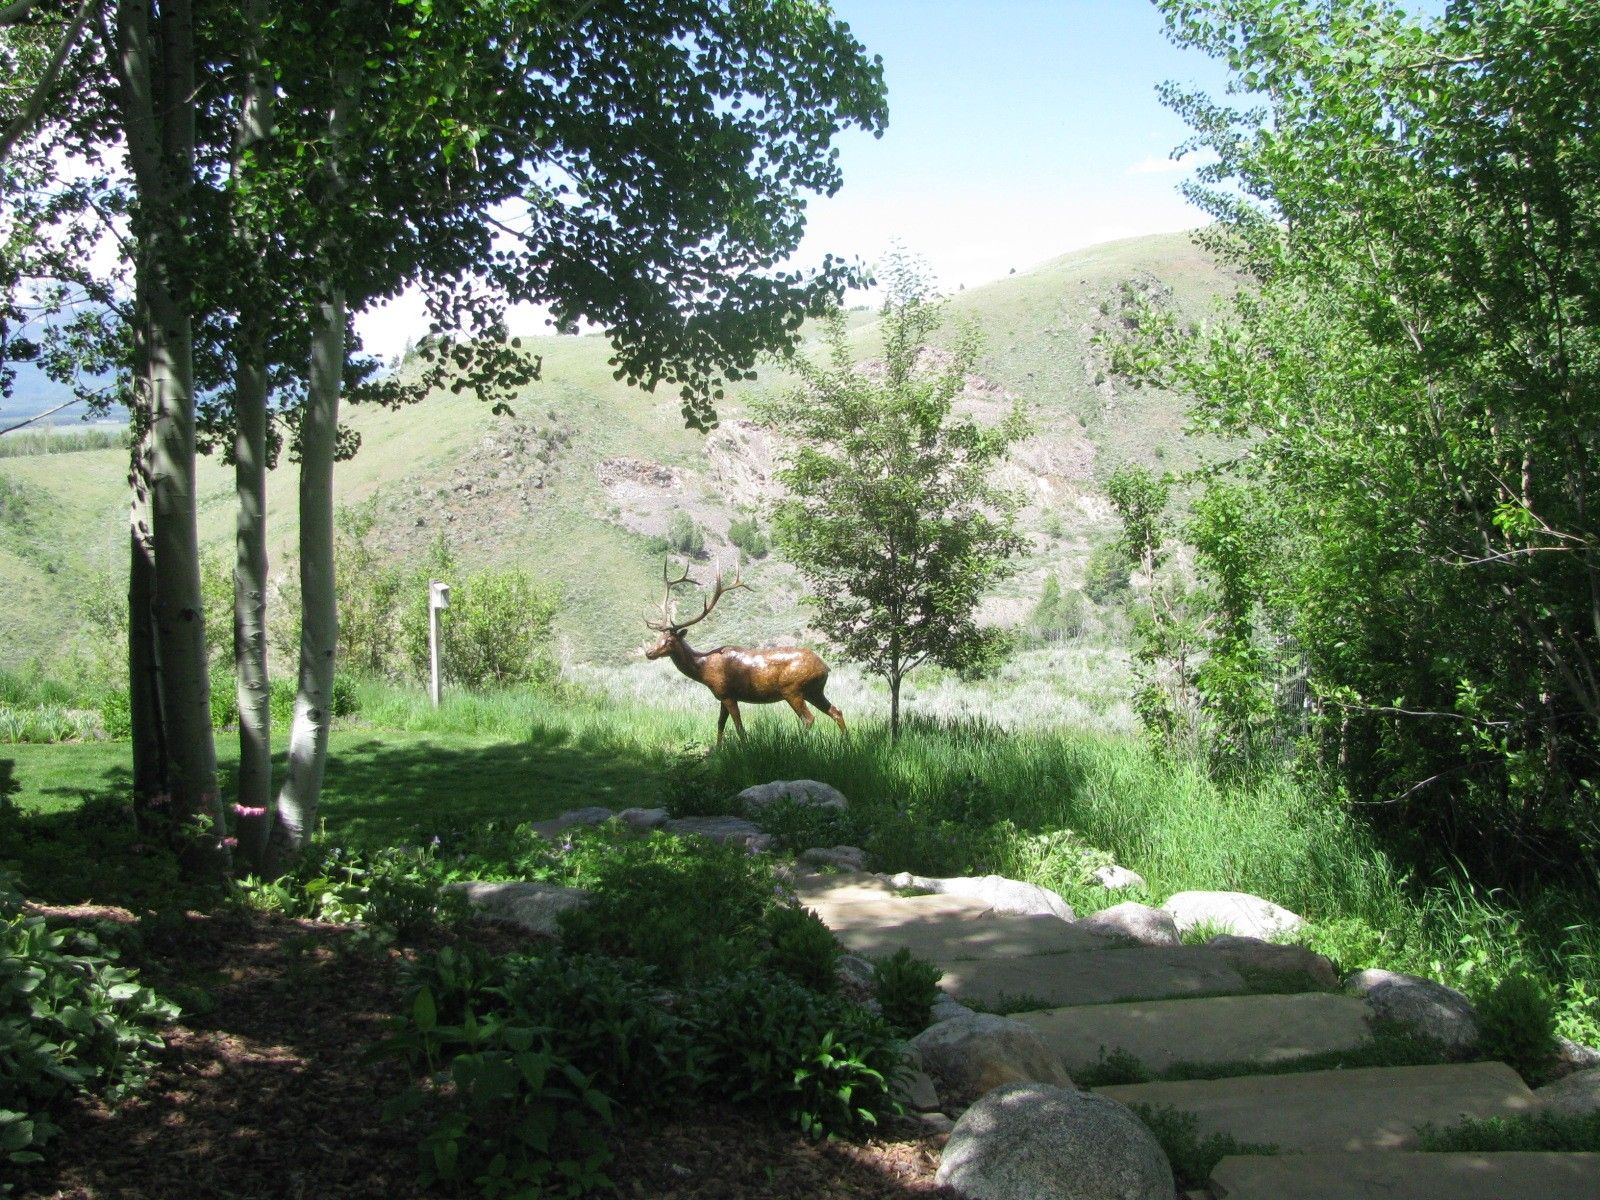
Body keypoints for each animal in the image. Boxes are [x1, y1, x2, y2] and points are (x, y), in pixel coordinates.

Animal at [644, 558, 847, 744]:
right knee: (836, 711)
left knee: (808, 718)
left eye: (669, 640)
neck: (705, 669)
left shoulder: (728, 693)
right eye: (657, 638)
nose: (649, 653)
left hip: (793, 689)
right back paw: (846, 744)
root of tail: (825, 668)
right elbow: (720, 724)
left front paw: (743, 749)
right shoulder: (722, 697)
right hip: (814, 690)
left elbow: (739, 727)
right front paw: (717, 750)